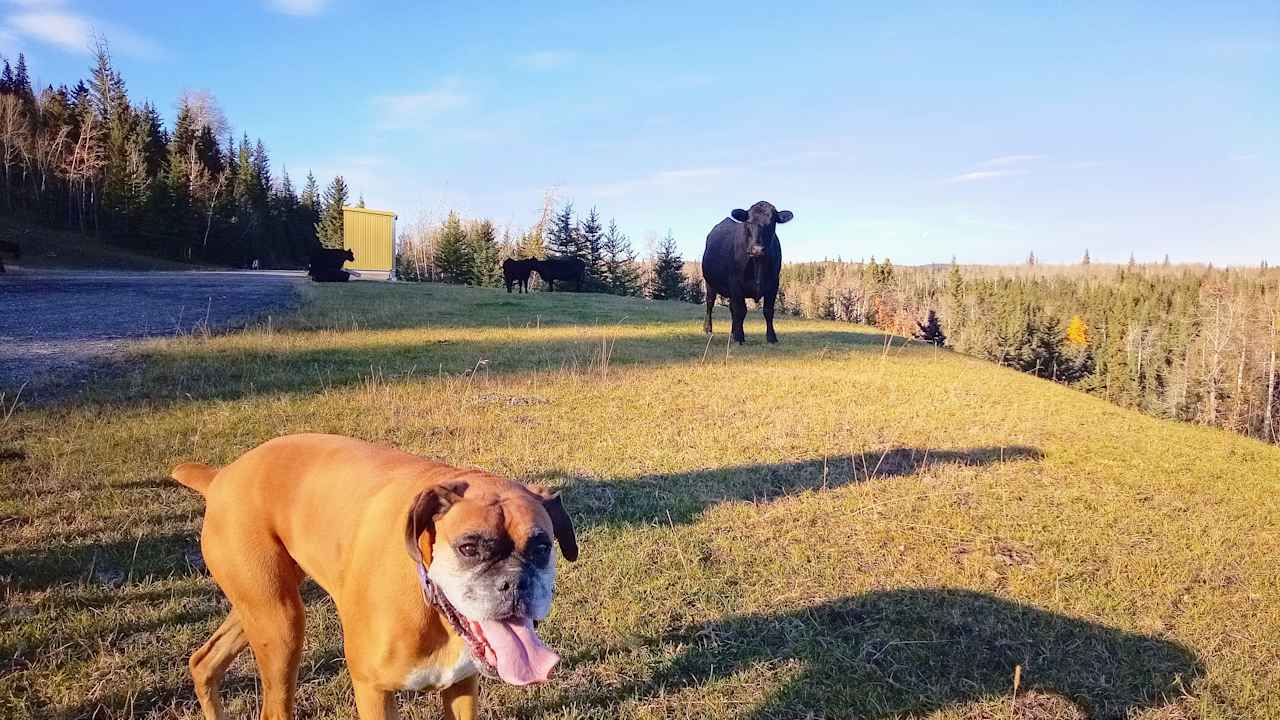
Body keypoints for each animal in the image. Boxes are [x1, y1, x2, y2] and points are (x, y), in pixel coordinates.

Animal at [168, 430, 576, 717]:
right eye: (469, 548)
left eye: (542, 547)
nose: (517, 583)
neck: (429, 603)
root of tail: (224, 474)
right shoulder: (373, 691)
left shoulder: (461, 686)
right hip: (281, 626)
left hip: (263, 608)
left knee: (204, 662)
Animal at [701, 197, 788, 340]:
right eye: (748, 222)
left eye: (772, 222)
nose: (757, 249)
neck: (757, 262)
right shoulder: (735, 282)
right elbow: (740, 311)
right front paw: (739, 337)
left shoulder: (774, 283)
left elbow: (768, 311)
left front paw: (771, 337)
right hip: (710, 283)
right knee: (710, 304)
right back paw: (708, 329)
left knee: (731, 308)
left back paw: (732, 331)